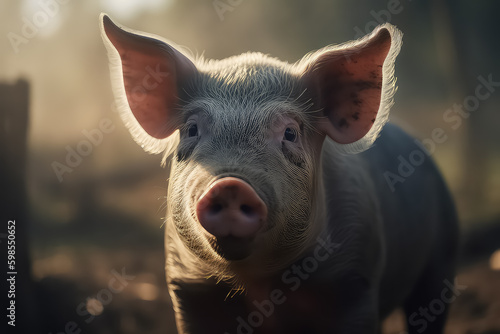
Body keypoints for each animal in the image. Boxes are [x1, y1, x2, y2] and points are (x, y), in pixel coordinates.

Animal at [99, 13, 458, 334]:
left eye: (290, 133)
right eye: (191, 130)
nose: (230, 184)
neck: (259, 285)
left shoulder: (355, 280)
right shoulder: (187, 287)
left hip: (441, 261)